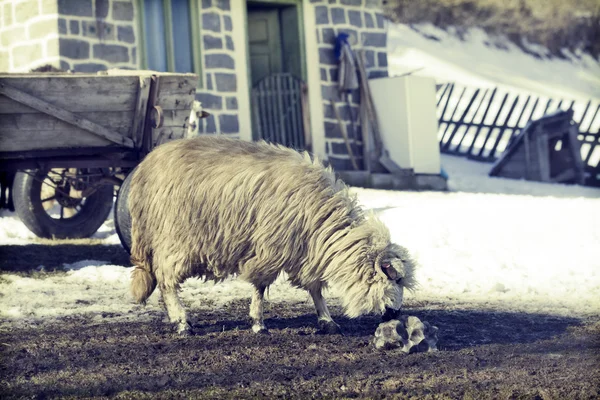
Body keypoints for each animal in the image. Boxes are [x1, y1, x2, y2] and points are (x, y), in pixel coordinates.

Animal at [127, 136, 418, 336]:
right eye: (395, 278)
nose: (395, 313)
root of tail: (144, 170)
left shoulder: (306, 252)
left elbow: (314, 287)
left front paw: (327, 320)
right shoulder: (270, 247)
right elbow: (260, 285)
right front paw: (258, 323)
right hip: (176, 239)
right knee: (166, 280)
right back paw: (181, 321)